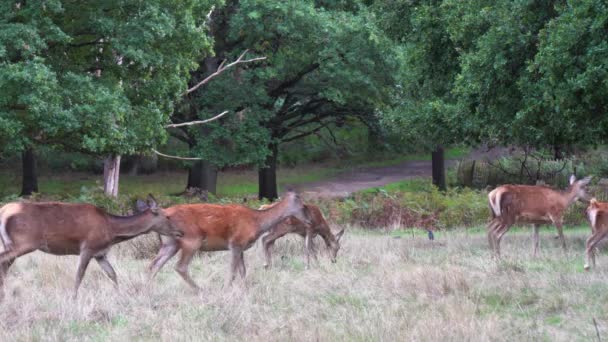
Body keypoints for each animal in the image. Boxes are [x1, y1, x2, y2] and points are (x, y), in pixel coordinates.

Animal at [0, 195, 183, 300]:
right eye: (167, 216)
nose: (180, 231)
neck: (111, 230)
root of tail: (4, 211)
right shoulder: (88, 247)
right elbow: (79, 276)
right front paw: (73, 299)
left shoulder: (100, 253)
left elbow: (112, 274)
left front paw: (120, 295)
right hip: (25, 242)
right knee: (3, 261)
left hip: (11, 243)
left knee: (4, 265)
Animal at [146, 190, 308, 288]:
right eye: (304, 207)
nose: (308, 221)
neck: (256, 222)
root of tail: (164, 212)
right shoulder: (236, 242)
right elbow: (233, 271)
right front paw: (227, 288)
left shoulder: (241, 246)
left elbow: (243, 271)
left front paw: (245, 288)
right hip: (191, 239)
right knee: (180, 266)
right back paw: (199, 289)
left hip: (170, 242)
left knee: (154, 264)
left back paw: (148, 290)